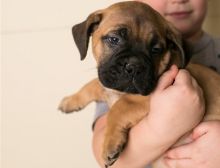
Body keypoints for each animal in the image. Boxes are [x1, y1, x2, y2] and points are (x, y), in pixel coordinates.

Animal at [58, 0, 220, 167]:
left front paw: (109, 144)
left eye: (156, 49)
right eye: (114, 39)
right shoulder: (109, 81)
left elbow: (118, 108)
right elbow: (93, 84)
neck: (120, 92)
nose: (135, 66)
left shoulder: (145, 99)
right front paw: (71, 100)